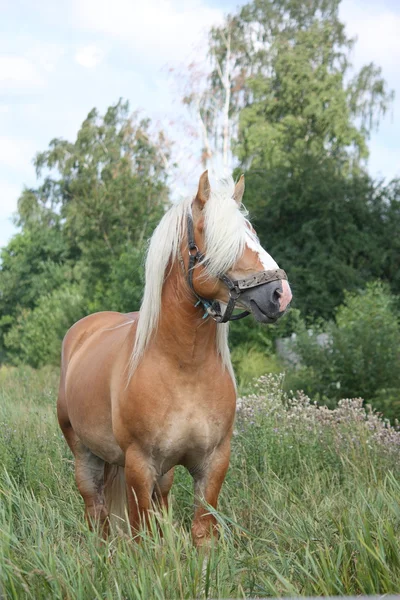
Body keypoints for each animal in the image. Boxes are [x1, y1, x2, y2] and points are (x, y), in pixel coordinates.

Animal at [57, 171, 292, 548]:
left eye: (252, 233)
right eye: (216, 236)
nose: (280, 294)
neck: (184, 368)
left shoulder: (214, 462)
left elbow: (201, 532)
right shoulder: (139, 464)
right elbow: (142, 537)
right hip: (84, 453)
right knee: (96, 510)